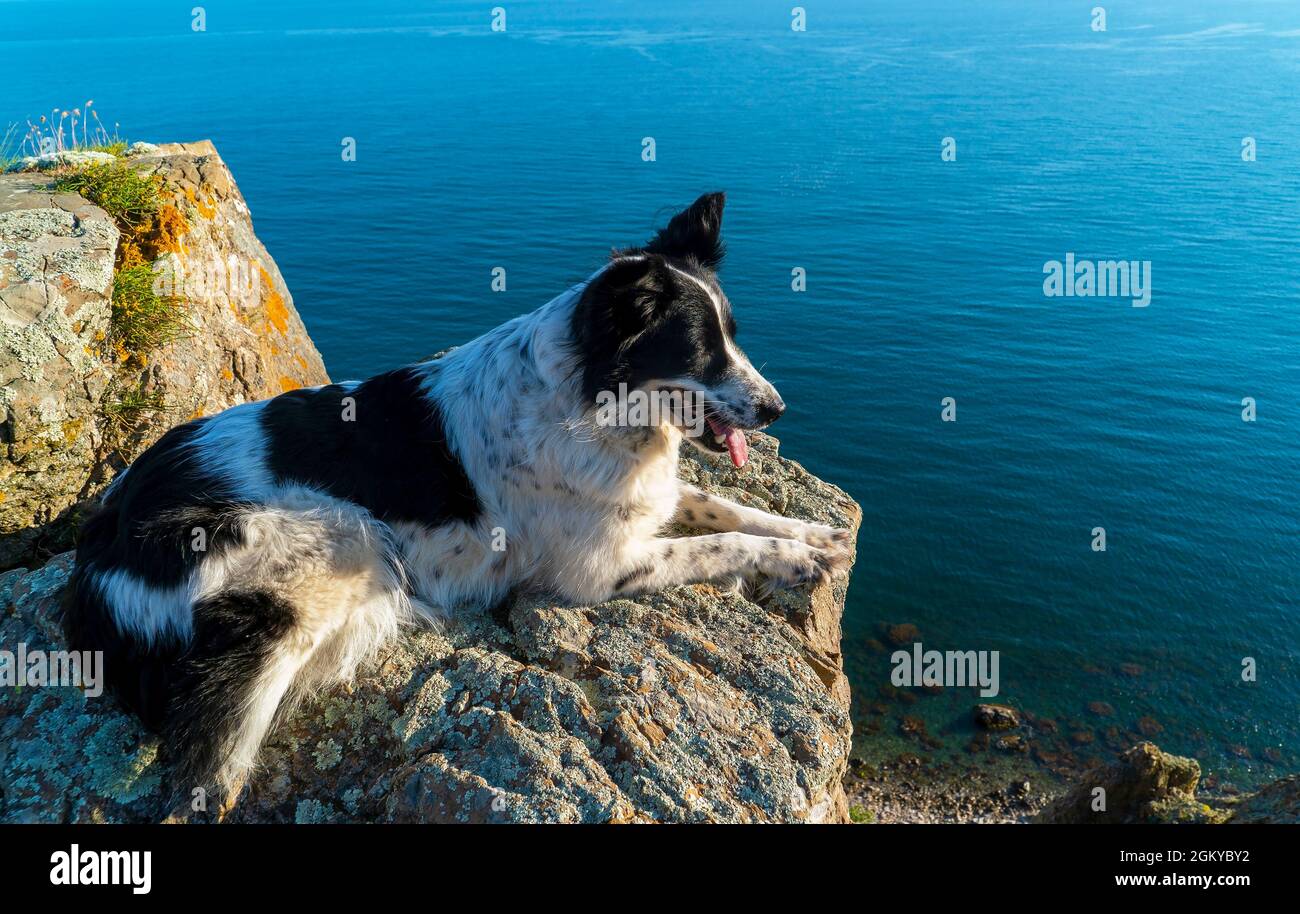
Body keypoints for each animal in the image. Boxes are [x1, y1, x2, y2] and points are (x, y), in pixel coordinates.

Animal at [63, 191, 852, 795]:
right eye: (701, 350)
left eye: (733, 336)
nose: (777, 408)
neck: (587, 401)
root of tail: (96, 560)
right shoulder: (595, 571)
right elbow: (721, 541)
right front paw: (792, 559)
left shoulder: (646, 500)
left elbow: (723, 507)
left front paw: (816, 537)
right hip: (333, 546)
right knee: (215, 756)